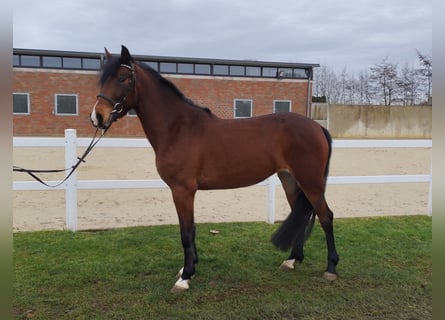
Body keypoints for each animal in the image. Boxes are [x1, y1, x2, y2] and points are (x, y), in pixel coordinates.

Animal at [91, 45, 340, 292]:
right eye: (102, 80)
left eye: (123, 78)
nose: (97, 117)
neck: (178, 129)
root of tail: (317, 127)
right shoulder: (185, 192)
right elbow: (191, 229)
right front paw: (189, 269)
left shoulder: (182, 190)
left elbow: (185, 232)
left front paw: (185, 277)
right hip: (290, 180)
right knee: (304, 213)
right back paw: (291, 260)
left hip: (311, 182)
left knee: (326, 216)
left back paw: (330, 269)